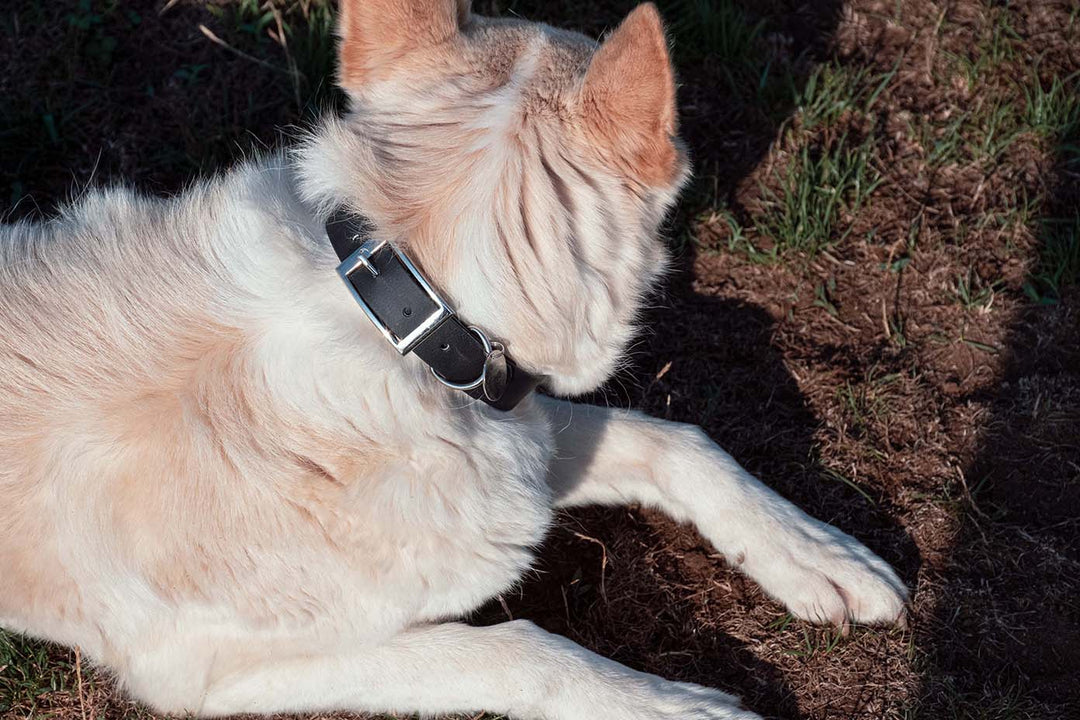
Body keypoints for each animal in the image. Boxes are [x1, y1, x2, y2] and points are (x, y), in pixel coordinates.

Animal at [0, 2, 907, 716]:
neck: (403, 311)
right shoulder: (210, 671)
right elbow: (519, 648)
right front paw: (672, 707)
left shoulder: (514, 423)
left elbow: (680, 442)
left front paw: (818, 555)